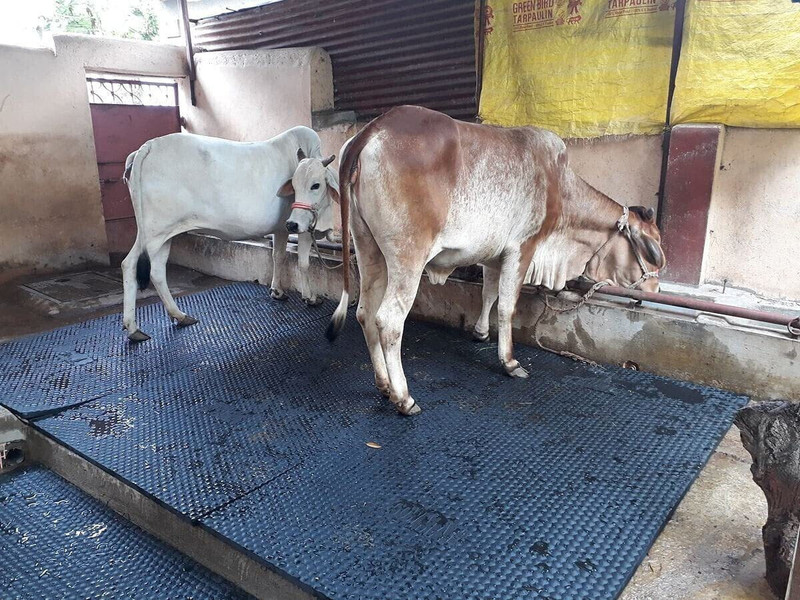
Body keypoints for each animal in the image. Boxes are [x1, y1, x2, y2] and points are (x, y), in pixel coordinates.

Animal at [121, 127, 336, 342]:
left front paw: (277, 291)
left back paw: (178, 316)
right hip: (154, 232)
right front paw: (310, 297)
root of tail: (148, 145)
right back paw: (133, 327)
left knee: (156, 271)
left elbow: (278, 256)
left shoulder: (282, 228)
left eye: (316, 185)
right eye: (300, 186)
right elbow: (303, 263)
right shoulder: (302, 227)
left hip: (162, 234)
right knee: (130, 264)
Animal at [323, 105, 666, 416]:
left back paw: (383, 385)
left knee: (365, 313)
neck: (561, 188)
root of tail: (374, 128)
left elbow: (488, 293)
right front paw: (509, 362)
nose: (655, 291)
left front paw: (480, 333)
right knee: (389, 320)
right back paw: (404, 398)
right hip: (407, 256)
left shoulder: (492, 254)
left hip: (368, 247)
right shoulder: (523, 247)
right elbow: (506, 305)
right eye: (652, 251)